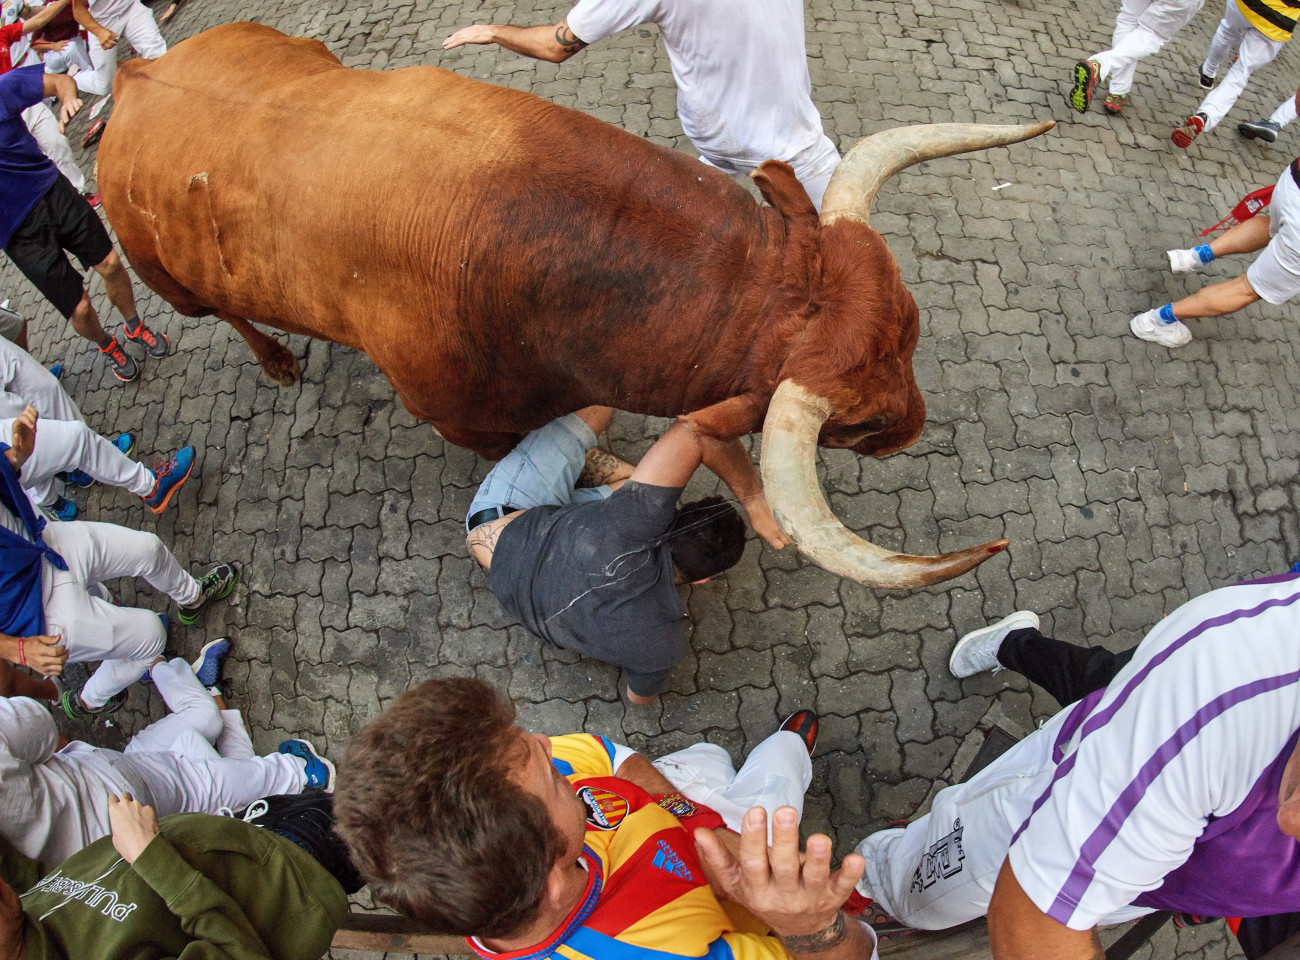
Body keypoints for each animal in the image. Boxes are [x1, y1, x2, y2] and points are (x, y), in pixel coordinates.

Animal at [101, 22, 1055, 587]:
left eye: (916, 331)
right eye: (856, 425)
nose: (915, 426)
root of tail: (143, 70)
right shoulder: (459, 417)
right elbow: (555, 449)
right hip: (170, 283)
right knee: (226, 315)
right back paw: (276, 359)